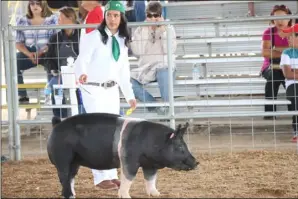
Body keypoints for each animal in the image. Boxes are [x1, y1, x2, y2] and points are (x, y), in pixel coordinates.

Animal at [46, 112, 199, 198]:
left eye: (185, 145)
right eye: (180, 146)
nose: (196, 162)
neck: (152, 142)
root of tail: (56, 124)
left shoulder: (150, 165)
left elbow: (150, 179)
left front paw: (157, 194)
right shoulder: (129, 159)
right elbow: (128, 178)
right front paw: (125, 196)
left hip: (75, 162)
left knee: (71, 177)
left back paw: (74, 194)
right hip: (62, 158)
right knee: (64, 178)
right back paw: (69, 196)